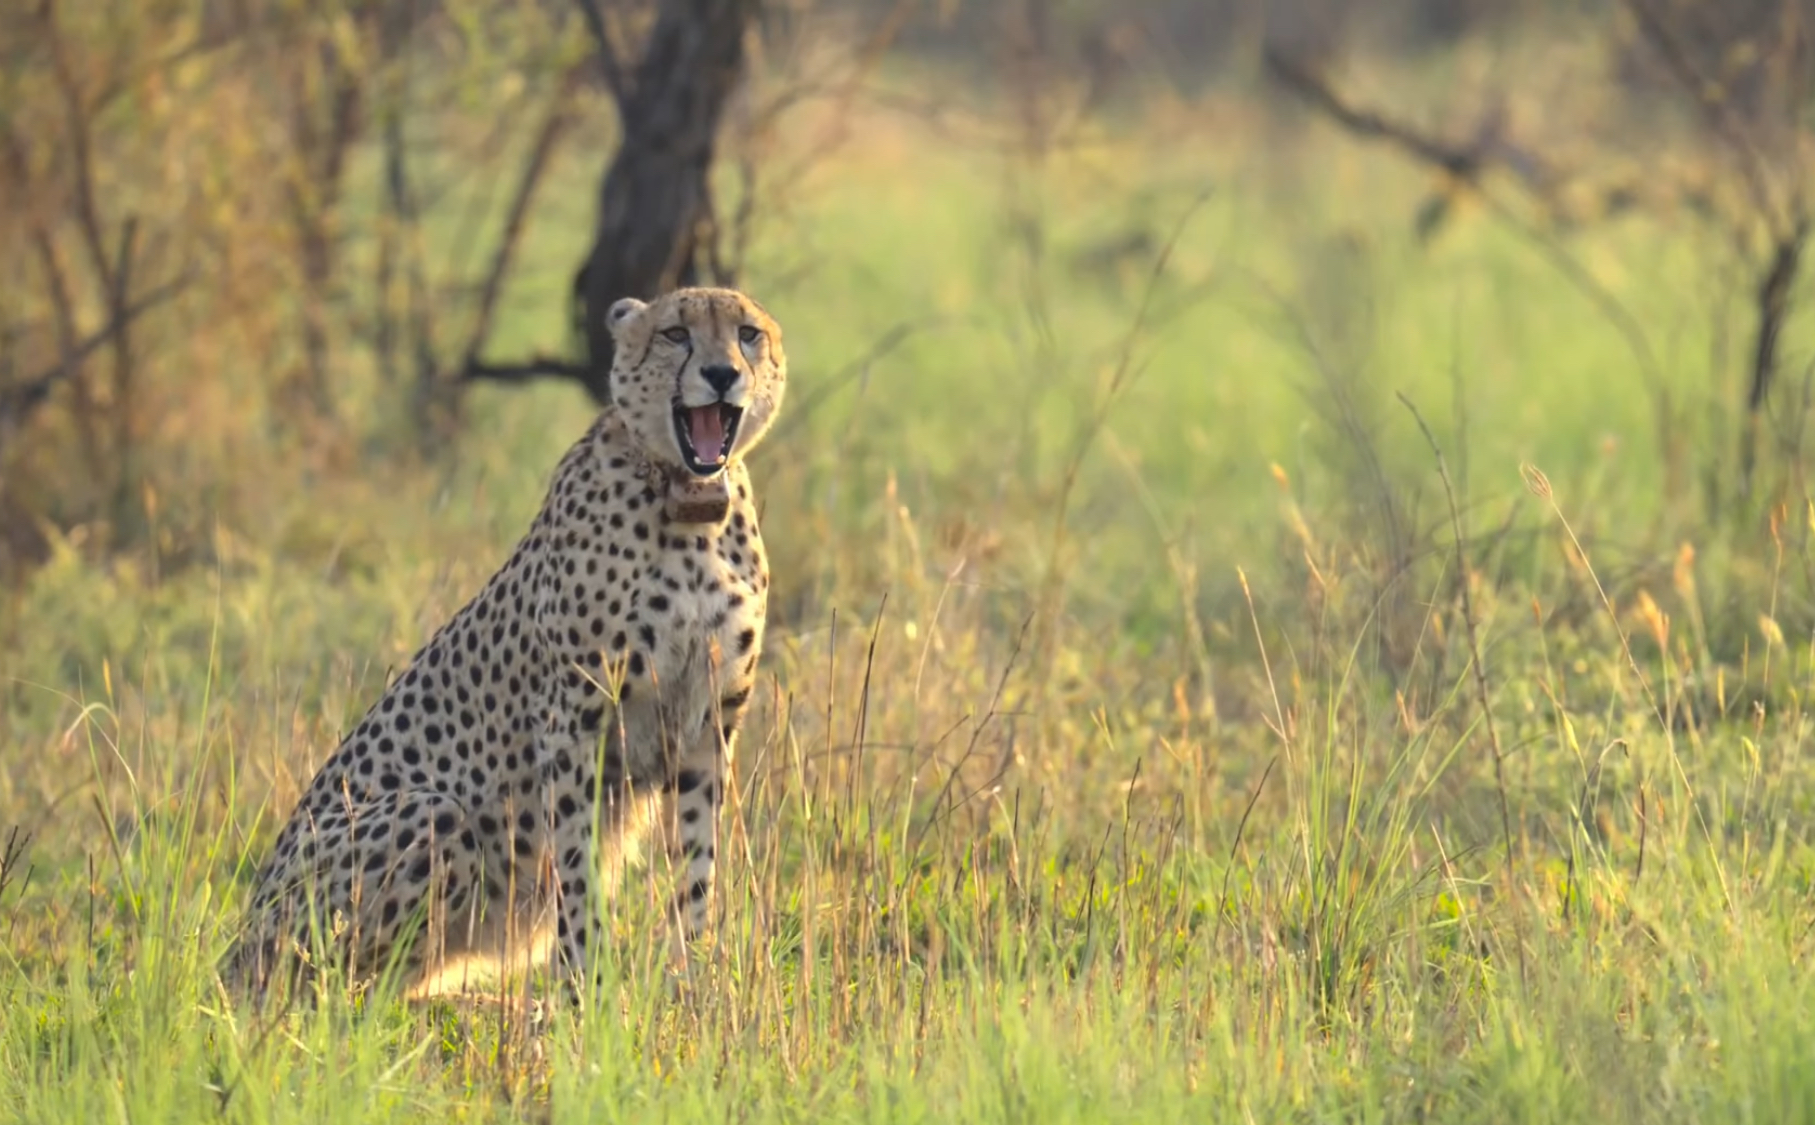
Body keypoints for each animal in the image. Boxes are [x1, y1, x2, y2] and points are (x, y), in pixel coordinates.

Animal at [225, 288, 787, 1001]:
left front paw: (694, 985)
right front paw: (585, 994)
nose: (720, 374)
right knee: (336, 994)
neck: (688, 507)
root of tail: (235, 943)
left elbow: (697, 865)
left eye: (747, 333)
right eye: (675, 334)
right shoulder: (573, 721)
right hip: (428, 815)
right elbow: (576, 868)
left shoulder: (709, 726)